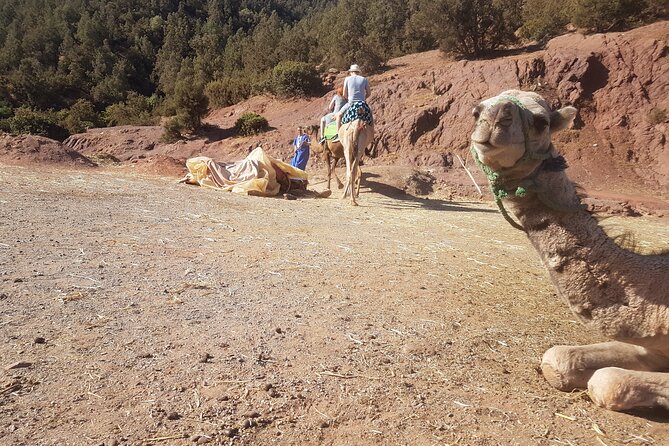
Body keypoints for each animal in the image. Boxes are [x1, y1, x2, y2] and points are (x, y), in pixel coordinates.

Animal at [469, 89, 669, 412]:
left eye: (541, 121)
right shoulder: (652, 346)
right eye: (476, 112)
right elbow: (557, 359)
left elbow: (606, 381)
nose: (494, 119)